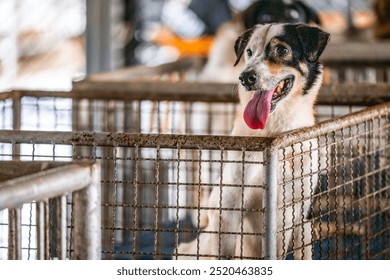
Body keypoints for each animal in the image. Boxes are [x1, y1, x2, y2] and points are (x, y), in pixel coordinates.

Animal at [178, 23, 330, 260]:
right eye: (249, 52)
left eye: (282, 50)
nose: (245, 77)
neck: (272, 132)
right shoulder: (228, 211)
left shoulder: (302, 215)